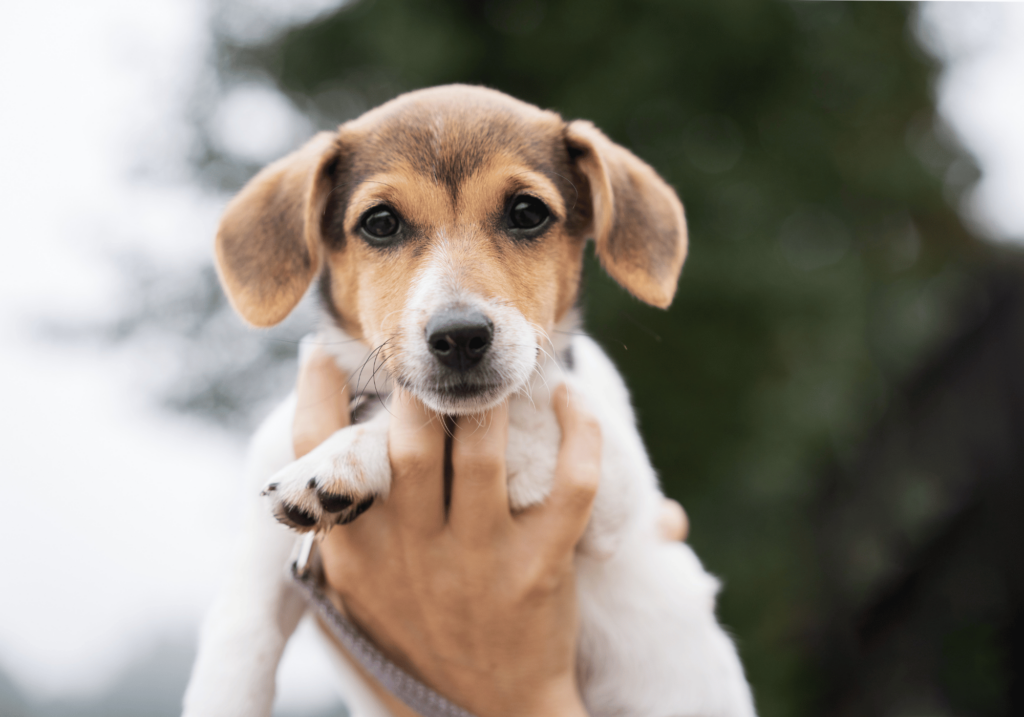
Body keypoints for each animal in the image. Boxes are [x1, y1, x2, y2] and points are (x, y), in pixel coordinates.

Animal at [184, 85, 757, 717]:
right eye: (380, 222)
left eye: (528, 213)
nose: (459, 336)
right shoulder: (259, 569)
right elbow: (236, 659)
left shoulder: (611, 482)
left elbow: (500, 410)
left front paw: (342, 457)